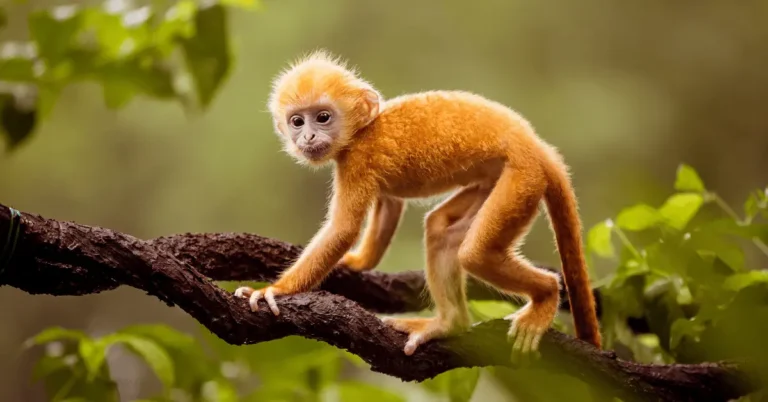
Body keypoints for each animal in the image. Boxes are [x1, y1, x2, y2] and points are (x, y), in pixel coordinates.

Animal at [234, 50, 601, 357]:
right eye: (297, 121)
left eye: (322, 117)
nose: (307, 136)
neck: (363, 130)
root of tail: (536, 146)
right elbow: (389, 204)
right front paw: (356, 262)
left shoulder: (358, 159)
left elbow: (343, 229)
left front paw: (276, 291)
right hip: (499, 181)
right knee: (441, 230)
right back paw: (450, 324)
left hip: (522, 178)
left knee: (476, 253)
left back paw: (546, 294)